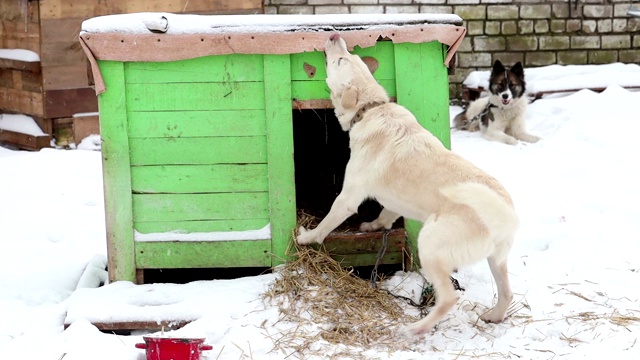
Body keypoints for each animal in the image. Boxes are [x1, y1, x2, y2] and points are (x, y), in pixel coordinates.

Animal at [296, 33, 520, 334]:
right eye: (351, 57)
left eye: (341, 60)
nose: (334, 36)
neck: (370, 109)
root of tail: (503, 213)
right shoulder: (391, 202)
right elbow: (385, 216)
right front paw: (372, 227)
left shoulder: (348, 198)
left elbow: (325, 225)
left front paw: (306, 237)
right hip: (496, 260)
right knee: (507, 293)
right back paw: (492, 316)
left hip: (430, 245)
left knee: (448, 299)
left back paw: (416, 328)